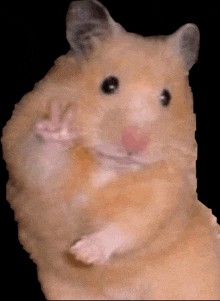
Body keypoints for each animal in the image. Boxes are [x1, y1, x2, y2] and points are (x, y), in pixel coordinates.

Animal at [1, 1, 218, 298]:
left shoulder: (163, 195)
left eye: (166, 97)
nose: (134, 144)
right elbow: (42, 160)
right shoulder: (27, 163)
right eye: (109, 84)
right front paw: (60, 128)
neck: (108, 167)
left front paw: (83, 254)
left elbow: (131, 225)